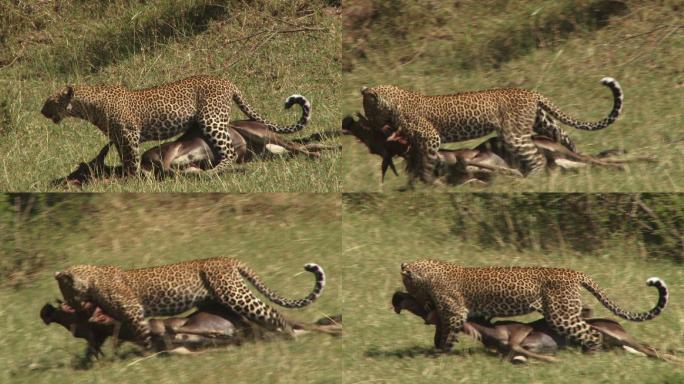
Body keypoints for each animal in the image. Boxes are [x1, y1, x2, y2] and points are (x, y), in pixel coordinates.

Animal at [41, 76, 312, 175]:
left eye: (50, 101)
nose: (42, 112)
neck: (88, 107)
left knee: (228, 151)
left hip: (211, 120)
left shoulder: (129, 135)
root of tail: (228, 82)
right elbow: (124, 158)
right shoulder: (118, 138)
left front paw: (133, 178)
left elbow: (131, 159)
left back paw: (214, 170)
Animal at [52, 256, 324, 350]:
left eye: (66, 294)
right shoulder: (119, 317)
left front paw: (149, 353)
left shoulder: (134, 312)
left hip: (236, 295)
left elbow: (142, 335)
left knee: (274, 314)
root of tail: (228, 259)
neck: (91, 280)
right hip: (223, 303)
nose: (70, 304)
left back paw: (289, 338)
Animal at [364, 77, 624, 184]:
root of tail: (532, 93)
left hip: (514, 134)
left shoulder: (431, 138)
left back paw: (533, 179)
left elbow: (426, 161)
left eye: (367, 108)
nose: (369, 123)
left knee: (537, 159)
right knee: (567, 141)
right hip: (543, 124)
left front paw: (425, 180)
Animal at [400, 260, 668, 352]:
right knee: (589, 315)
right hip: (567, 310)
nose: (403, 293)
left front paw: (440, 352)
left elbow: (447, 332)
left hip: (560, 315)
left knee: (593, 334)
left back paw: (591, 355)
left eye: (406, 282)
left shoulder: (455, 312)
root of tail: (574, 272)